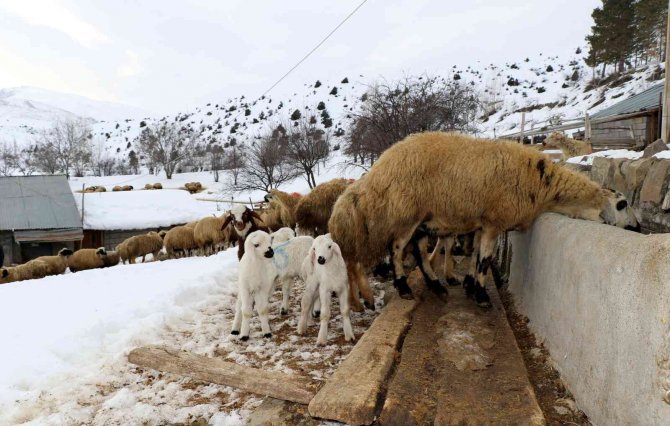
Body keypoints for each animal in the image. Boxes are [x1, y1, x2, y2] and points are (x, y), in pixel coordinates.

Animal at [330, 131, 640, 308]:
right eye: (622, 204)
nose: (637, 228)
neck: (542, 185)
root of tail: (378, 169)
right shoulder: (494, 221)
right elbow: (485, 259)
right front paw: (481, 295)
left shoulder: (481, 224)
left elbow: (476, 254)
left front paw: (469, 285)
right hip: (407, 212)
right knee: (396, 249)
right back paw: (405, 287)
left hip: (422, 218)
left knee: (417, 249)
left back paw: (436, 285)